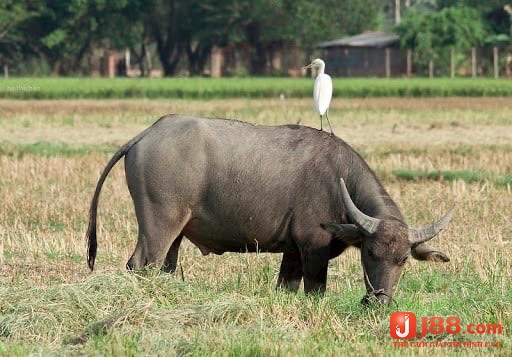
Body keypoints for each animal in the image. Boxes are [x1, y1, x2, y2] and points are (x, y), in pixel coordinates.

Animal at [85, 114, 456, 304]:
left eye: (403, 259)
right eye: (369, 253)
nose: (379, 302)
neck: (338, 181)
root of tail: (148, 133)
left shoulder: (292, 253)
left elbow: (286, 287)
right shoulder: (313, 249)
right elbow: (315, 291)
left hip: (176, 232)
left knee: (165, 267)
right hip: (158, 226)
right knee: (140, 265)